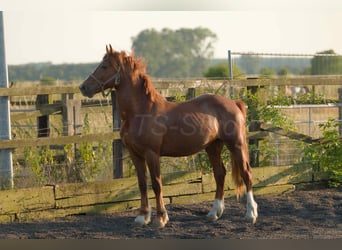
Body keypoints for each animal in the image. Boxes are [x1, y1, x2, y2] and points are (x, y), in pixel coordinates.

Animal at [79, 45, 256, 227]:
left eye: (104, 66)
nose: (83, 87)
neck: (141, 112)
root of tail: (235, 103)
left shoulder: (152, 154)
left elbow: (156, 183)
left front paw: (161, 218)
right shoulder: (136, 154)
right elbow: (142, 184)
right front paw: (142, 217)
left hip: (236, 144)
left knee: (246, 173)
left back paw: (251, 214)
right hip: (213, 147)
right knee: (219, 174)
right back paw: (214, 213)